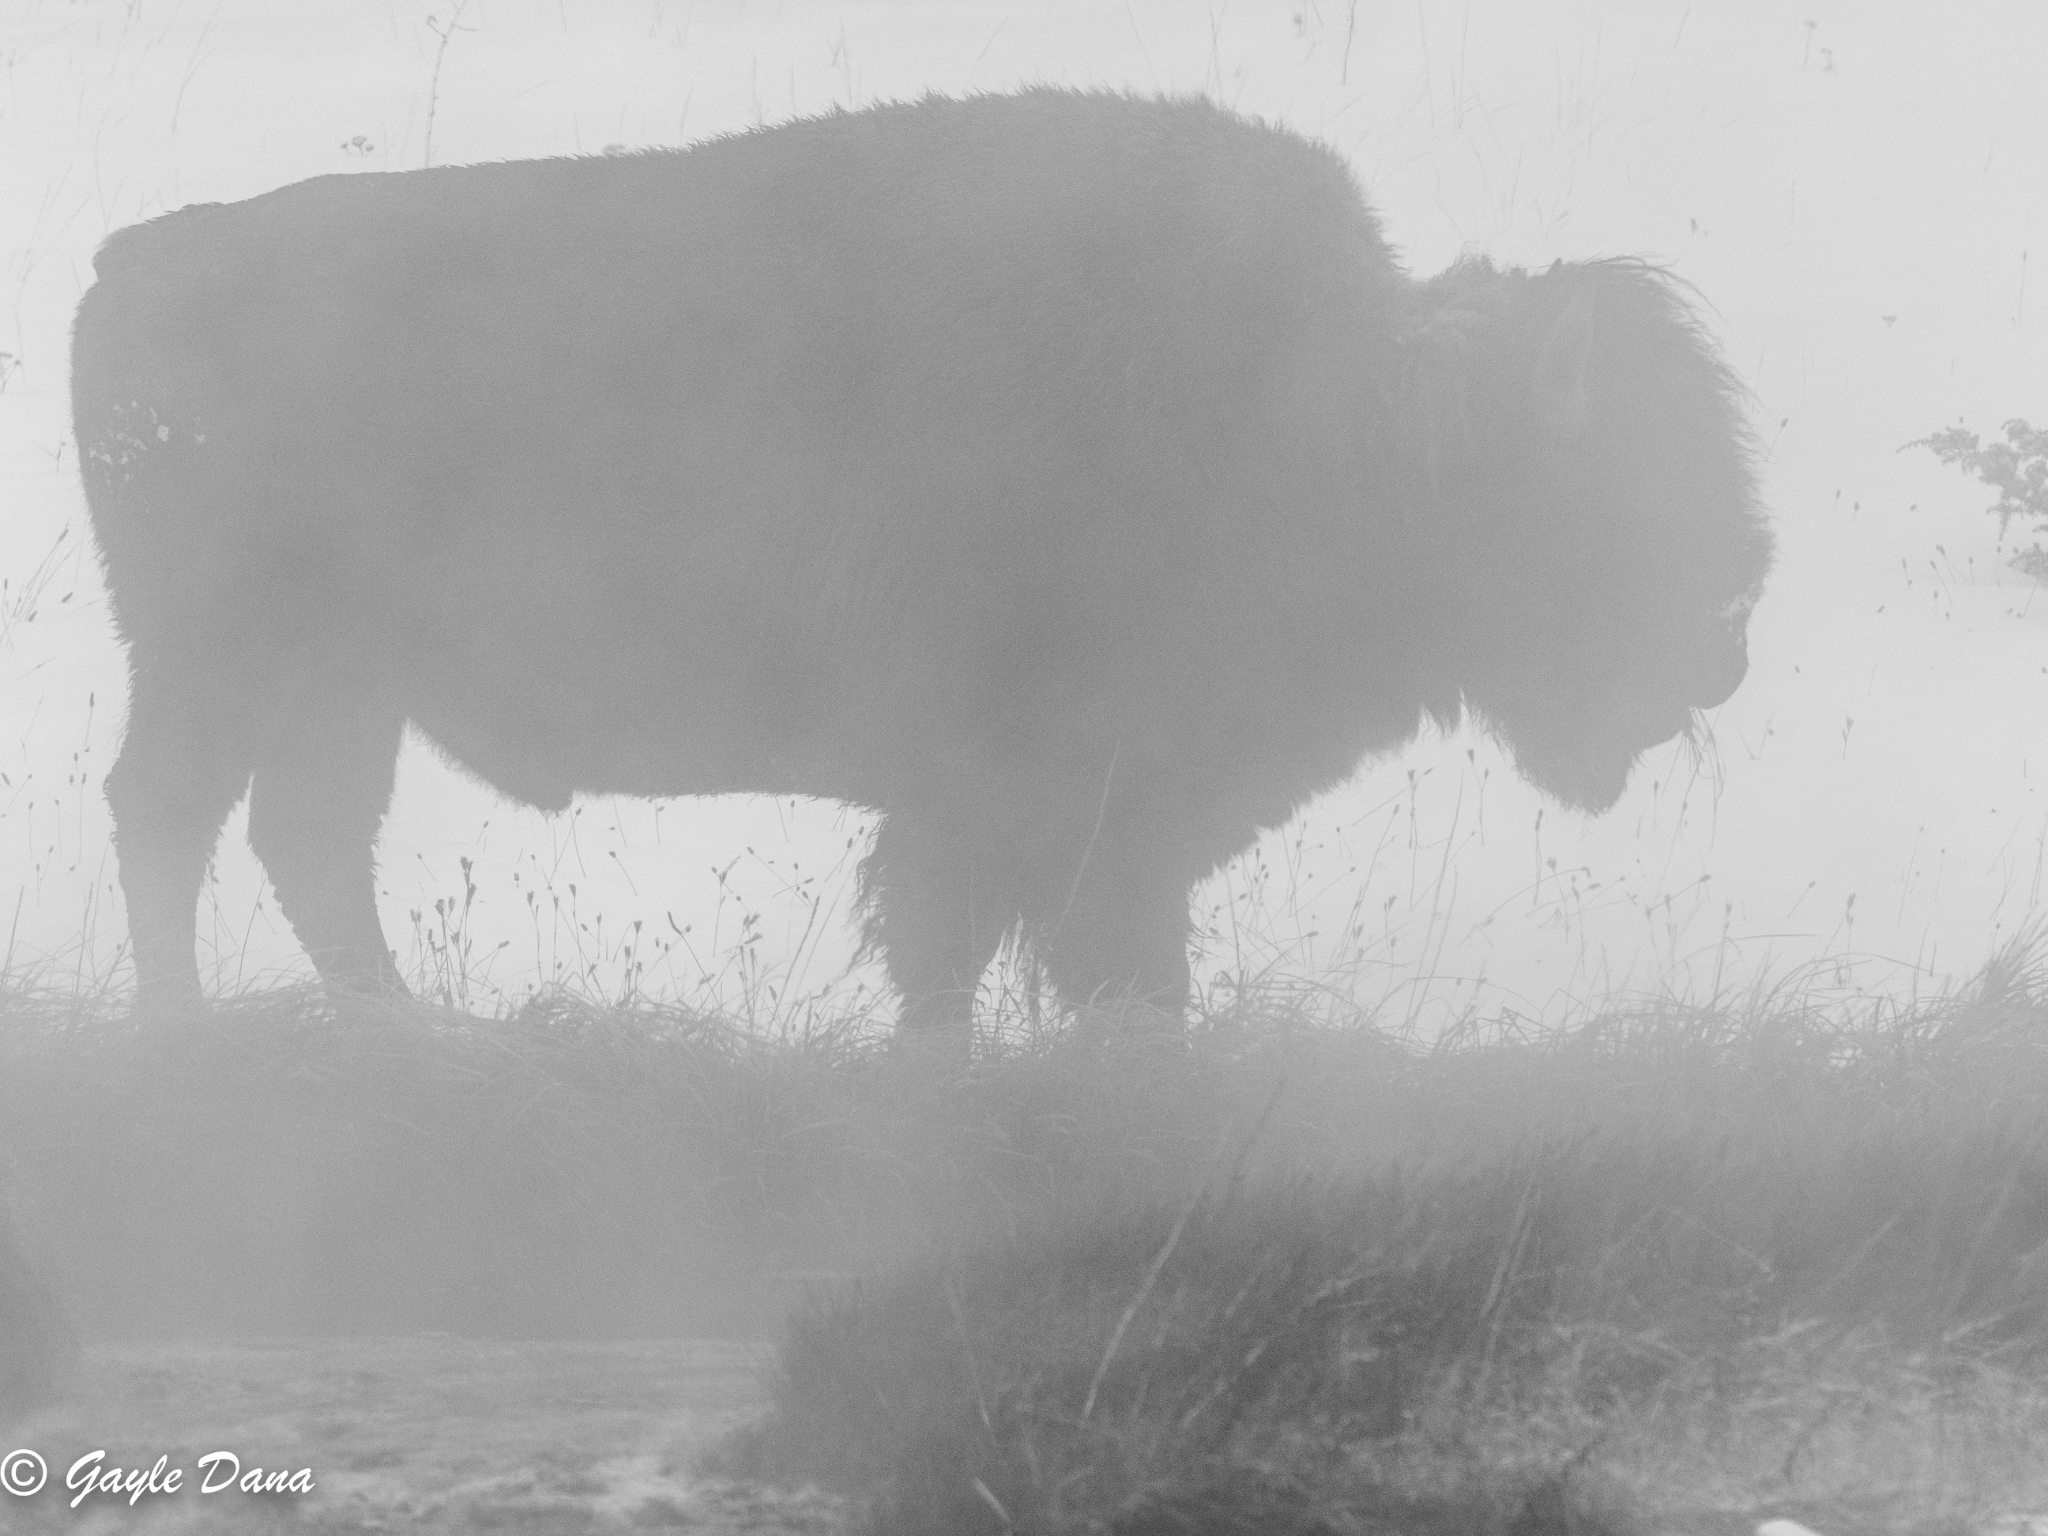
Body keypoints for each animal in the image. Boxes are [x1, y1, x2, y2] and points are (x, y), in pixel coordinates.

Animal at [71, 88, 1771, 1036]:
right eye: (1612, 490)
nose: (1729, 632)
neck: (1338, 407)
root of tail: (137, 255)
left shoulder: (1083, 820)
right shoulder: (1030, 800)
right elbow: (990, 944)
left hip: (338, 684)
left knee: (299, 835)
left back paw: (411, 1035)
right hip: (221, 656)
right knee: (173, 812)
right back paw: (184, 1029)